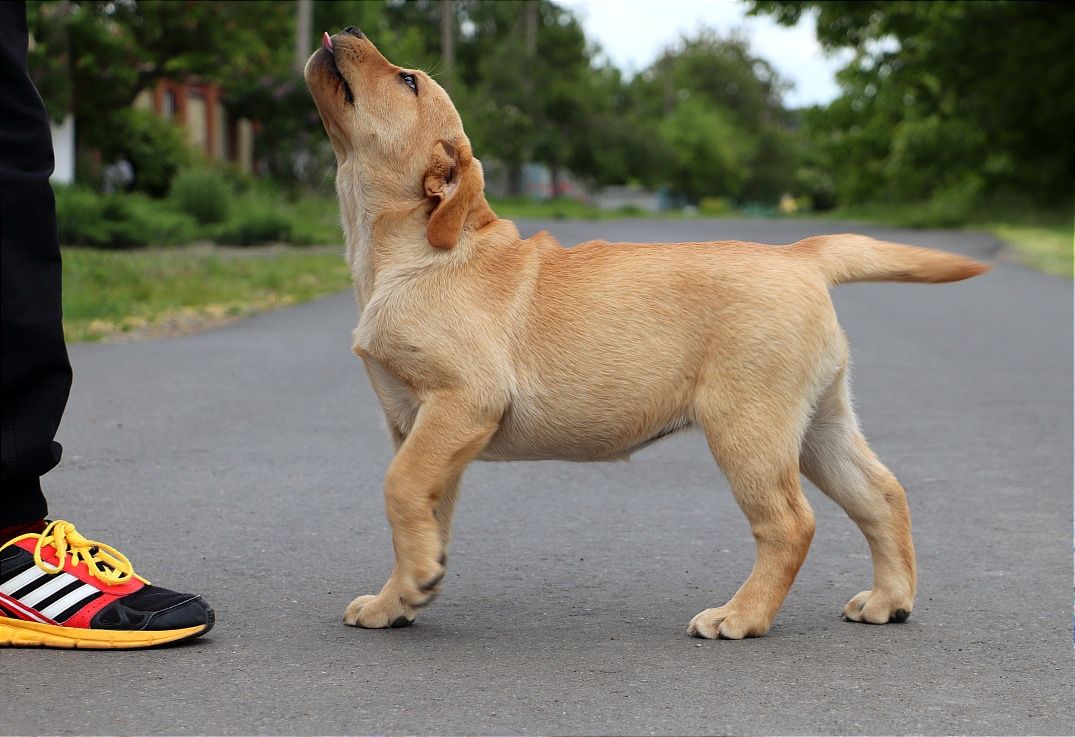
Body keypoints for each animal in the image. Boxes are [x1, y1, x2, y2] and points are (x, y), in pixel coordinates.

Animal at [305, 27, 989, 640]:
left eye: (407, 81)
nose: (349, 26)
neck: (411, 251)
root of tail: (800, 256)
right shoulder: (418, 425)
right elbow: (423, 508)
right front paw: (402, 595)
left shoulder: (461, 402)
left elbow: (399, 487)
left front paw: (415, 578)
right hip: (819, 423)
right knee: (882, 495)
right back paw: (888, 600)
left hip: (748, 427)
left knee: (791, 523)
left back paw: (740, 617)